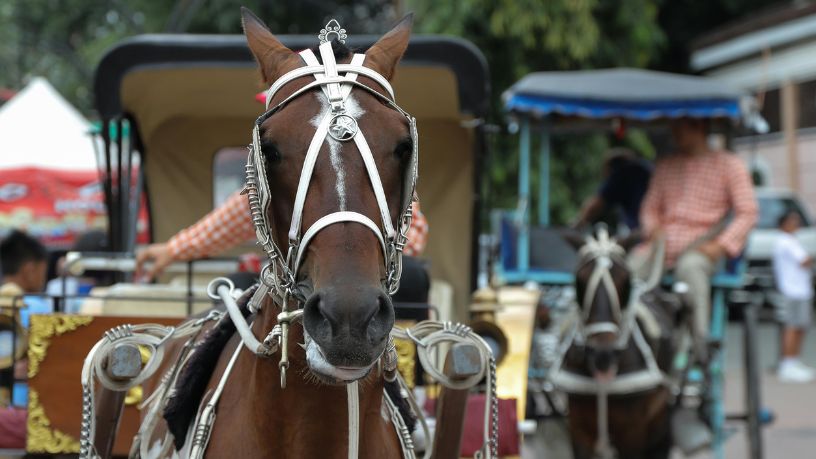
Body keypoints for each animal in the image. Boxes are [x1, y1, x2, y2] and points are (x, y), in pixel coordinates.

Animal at [550, 228, 685, 459]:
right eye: (579, 281)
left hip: (658, 417)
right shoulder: (579, 430)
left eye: (625, 281)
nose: (603, 355)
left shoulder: (633, 431)